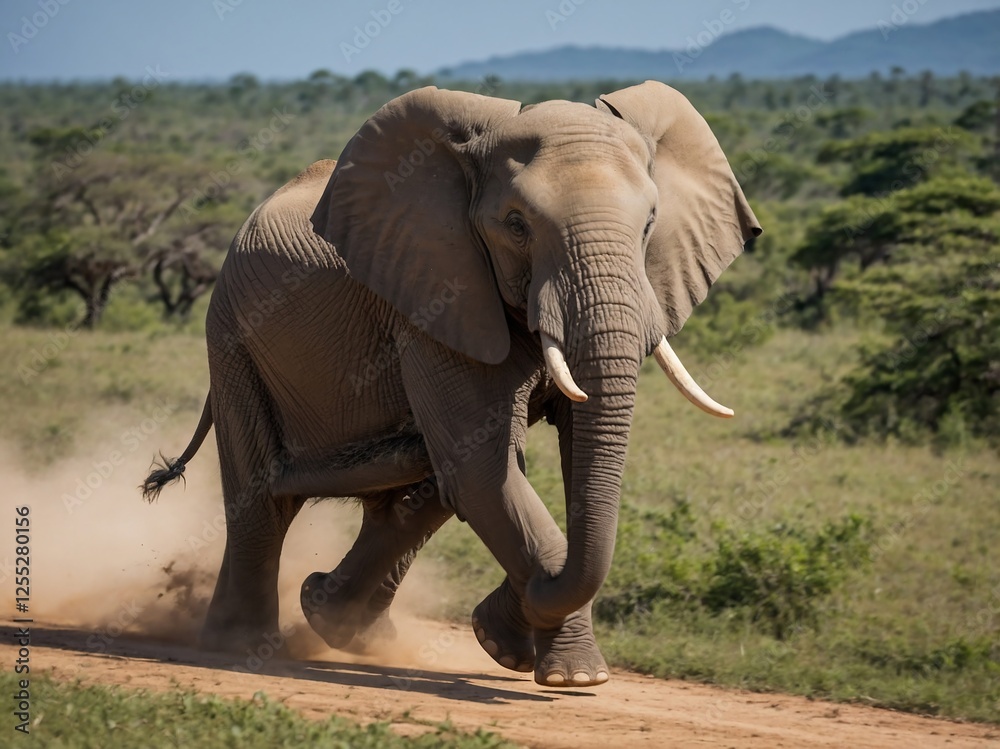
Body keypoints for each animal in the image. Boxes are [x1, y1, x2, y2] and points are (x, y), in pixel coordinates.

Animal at [143, 80, 760, 688]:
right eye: (516, 224)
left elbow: (532, 465)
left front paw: (532, 656)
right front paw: (564, 671)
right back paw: (240, 645)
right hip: (232, 339)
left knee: (413, 484)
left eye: (650, 224)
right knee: (262, 500)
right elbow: (486, 470)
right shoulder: (433, 297)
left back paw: (337, 622)